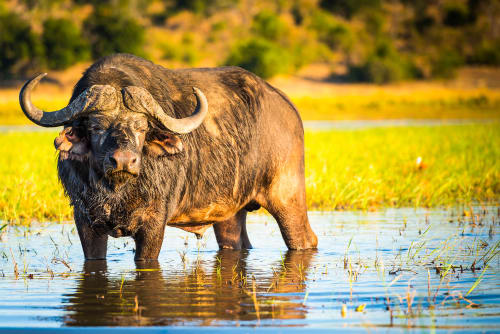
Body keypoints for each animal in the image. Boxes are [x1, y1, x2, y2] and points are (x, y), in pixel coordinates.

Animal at [20, 53, 316, 260]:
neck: (118, 191)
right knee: (236, 242)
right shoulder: (85, 221)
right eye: (96, 126)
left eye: (141, 127)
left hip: (287, 197)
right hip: (230, 213)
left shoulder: (153, 224)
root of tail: (288, 108)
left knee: (305, 240)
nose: (124, 161)